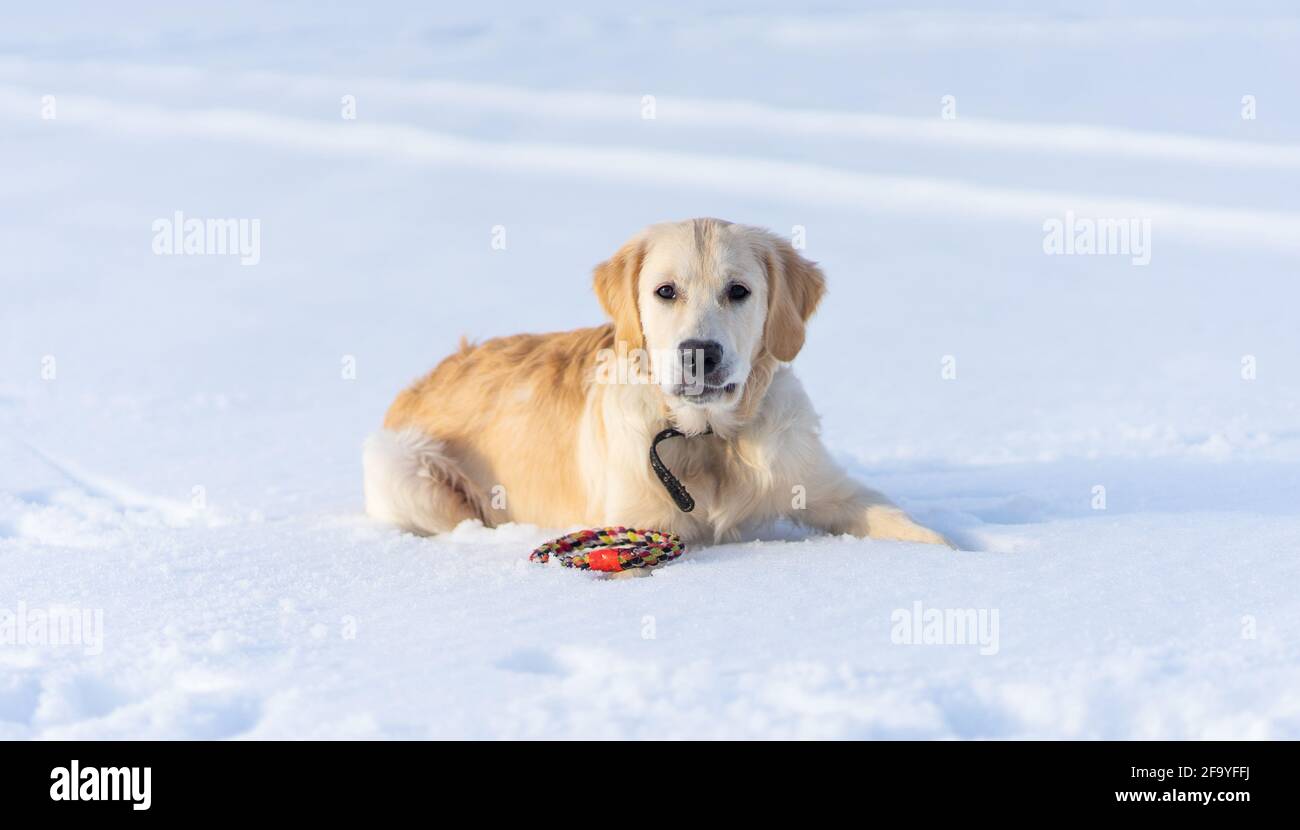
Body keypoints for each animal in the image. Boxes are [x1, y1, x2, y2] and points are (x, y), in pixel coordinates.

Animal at [361, 218, 951, 548]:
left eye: (739, 290)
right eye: (665, 291)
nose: (699, 354)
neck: (710, 439)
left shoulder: (831, 488)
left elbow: (908, 526)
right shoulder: (636, 518)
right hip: (402, 465)